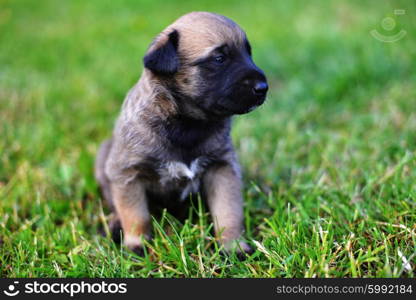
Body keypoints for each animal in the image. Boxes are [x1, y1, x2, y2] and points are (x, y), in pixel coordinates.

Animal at [94, 12, 268, 255]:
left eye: (248, 54)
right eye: (219, 59)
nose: (263, 87)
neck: (187, 124)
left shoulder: (222, 169)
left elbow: (228, 212)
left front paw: (233, 246)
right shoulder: (128, 174)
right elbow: (135, 215)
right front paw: (137, 245)